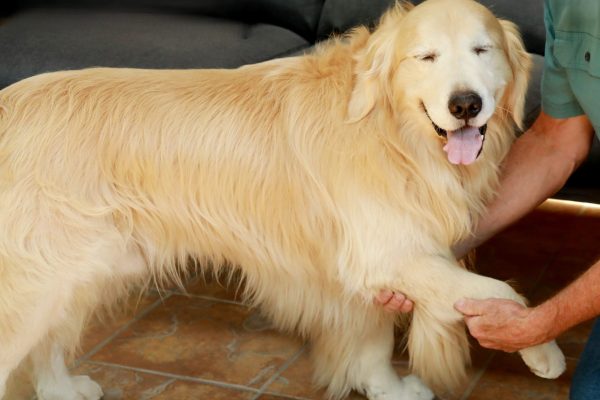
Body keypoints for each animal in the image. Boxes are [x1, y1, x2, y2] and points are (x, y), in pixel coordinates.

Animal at [0, 0, 564, 398]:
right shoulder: (384, 252)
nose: (465, 104)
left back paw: (62, 389)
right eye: (425, 57)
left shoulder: (370, 265)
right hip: (36, 282)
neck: (392, 133)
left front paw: (386, 388)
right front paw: (541, 350)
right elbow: (499, 290)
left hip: (72, 273)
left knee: (48, 345)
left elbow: (373, 339)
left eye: (482, 50)